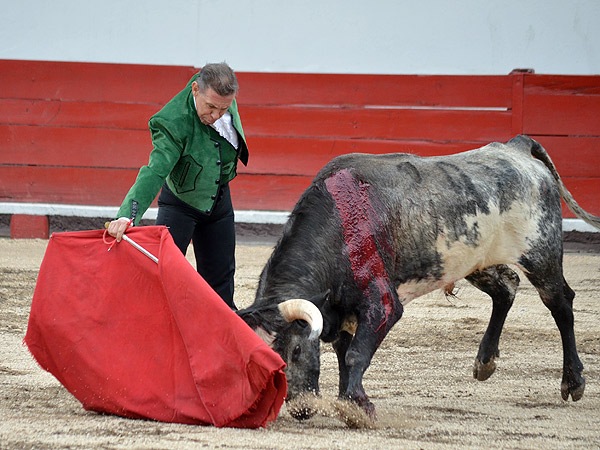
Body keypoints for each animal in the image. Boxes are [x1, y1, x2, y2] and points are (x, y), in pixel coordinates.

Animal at [237, 135, 596, 420]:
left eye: (296, 351)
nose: (301, 410)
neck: (339, 229)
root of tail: (515, 147)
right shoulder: (341, 313)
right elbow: (345, 355)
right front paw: (350, 401)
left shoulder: (382, 304)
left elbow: (354, 355)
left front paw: (358, 407)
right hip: (473, 259)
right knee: (506, 288)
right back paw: (484, 362)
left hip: (541, 251)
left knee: (560, 302)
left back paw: (573, 381)